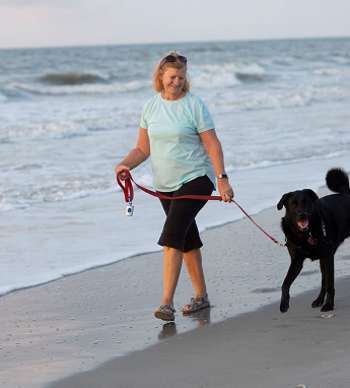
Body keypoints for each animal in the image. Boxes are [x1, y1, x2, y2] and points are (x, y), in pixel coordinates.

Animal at [278, 168, 350, 314]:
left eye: (306, 202)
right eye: (293, 204)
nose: (303, 215)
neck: (305, 235)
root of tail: (347, 195)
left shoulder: (328, 256)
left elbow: (330, 284)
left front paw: (329, 305)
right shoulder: (297, 261)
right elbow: (285, 284)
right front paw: (284, 304)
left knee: (326, 281)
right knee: (323, 281)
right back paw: (318, 300)